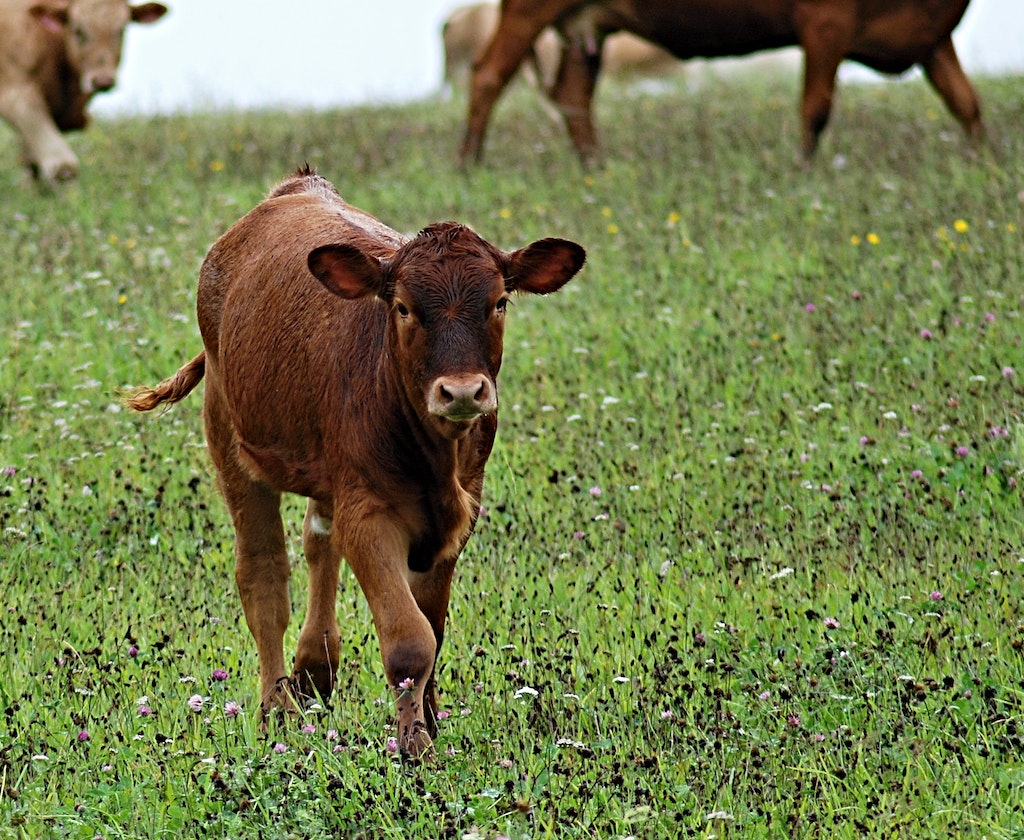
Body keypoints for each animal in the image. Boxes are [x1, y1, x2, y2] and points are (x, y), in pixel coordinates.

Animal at [0, 0, 165, 180]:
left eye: (121, 30)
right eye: (78, 30)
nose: (102, 80)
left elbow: (31, 160)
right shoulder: (16, 97)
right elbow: (62, 166)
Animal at [128, 166, 589, 758]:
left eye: (500, 302)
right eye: (404, 308)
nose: (462, 391)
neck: (433, 459)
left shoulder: (460, 510)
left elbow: (433, 624)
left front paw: (429, 718)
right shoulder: (369, 512)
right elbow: (410, 639)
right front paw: (415, 747)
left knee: (318, 541)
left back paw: (314, 669)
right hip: (230, 438)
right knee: (264, 576)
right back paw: (277, 708)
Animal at [458, 0, 983, 165]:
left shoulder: (933, 36)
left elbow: (966, 103)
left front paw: (984, 164)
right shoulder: (825, 22)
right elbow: (815, 108)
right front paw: (804, 172)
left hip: (586, 28)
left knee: (573, 98)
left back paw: (596, 169)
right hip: (528, 9)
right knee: (488, 76)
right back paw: (469, 165)